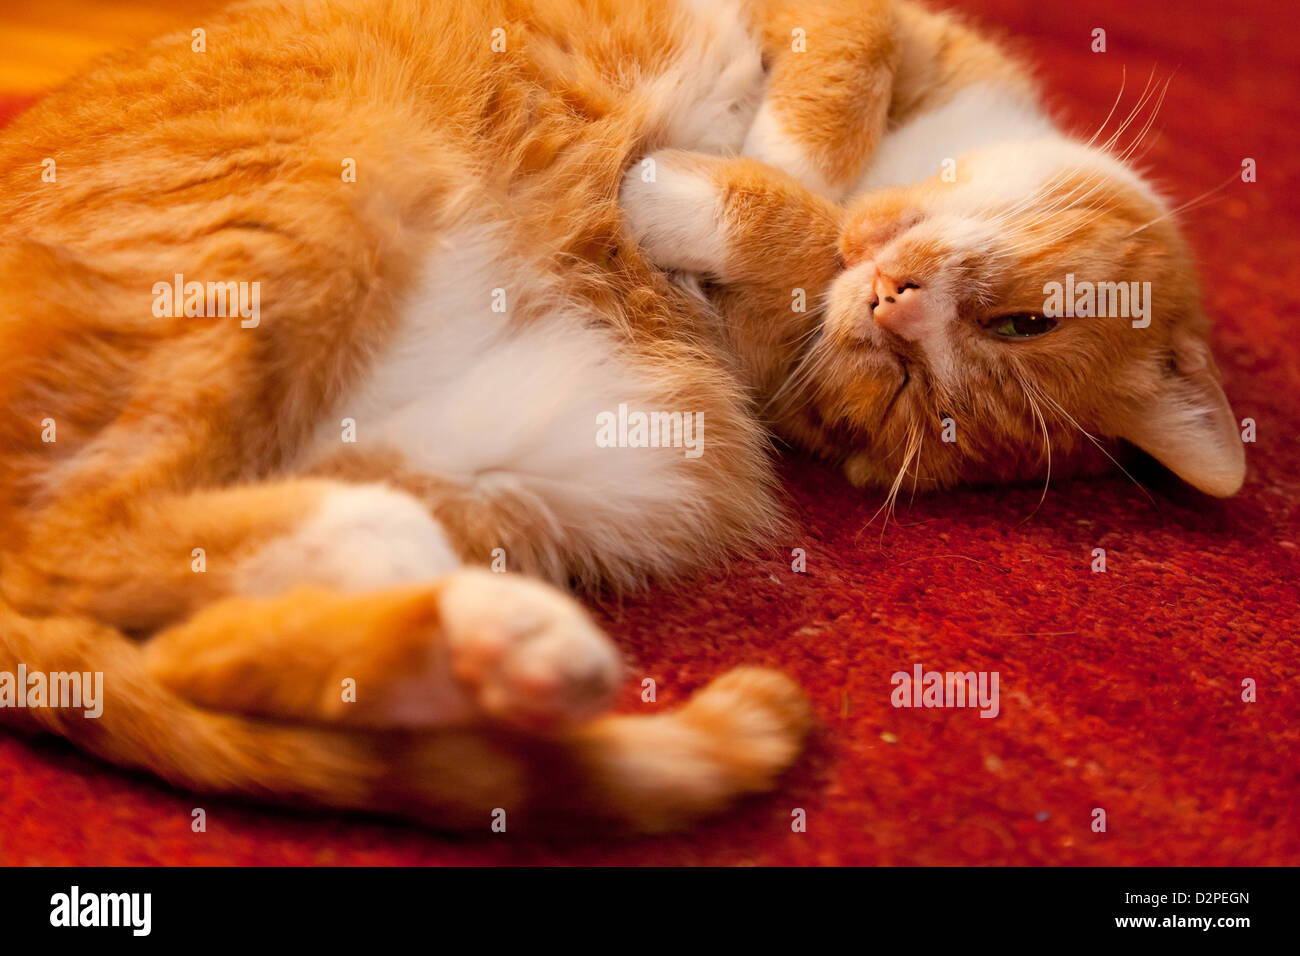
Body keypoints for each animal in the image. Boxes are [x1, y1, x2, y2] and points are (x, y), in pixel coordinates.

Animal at [0, 0, 1242, 832]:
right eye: (1026, 323)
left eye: (910, 394)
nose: (893, 304)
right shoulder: (859, 25)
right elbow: (831, 89)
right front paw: (774, 163)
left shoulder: (764, 362)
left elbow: (789, 235)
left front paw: (711, 191)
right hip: (320, 204)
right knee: (93, 564)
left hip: (545, 466)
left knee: (177, 617)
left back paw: (509, 646)